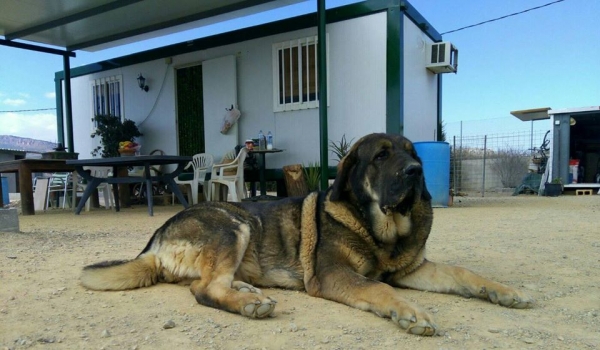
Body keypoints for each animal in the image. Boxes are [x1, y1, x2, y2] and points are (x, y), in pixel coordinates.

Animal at [81, 133, 536, 334]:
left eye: (413, 154)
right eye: (381, 156)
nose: (416, 171)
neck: (379, 230)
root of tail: (155, 240)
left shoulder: (411, 270)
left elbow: (463, 273)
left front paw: (505, 292)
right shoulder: (332, 275)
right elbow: (380, 289)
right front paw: (410, 312)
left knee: (214, 281)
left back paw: (247, 292)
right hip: (233, 223)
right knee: (204, 289)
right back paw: (249, 304)